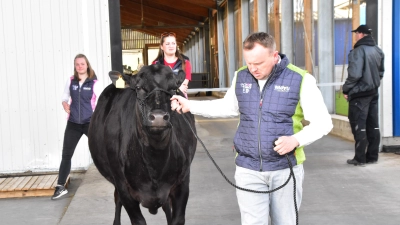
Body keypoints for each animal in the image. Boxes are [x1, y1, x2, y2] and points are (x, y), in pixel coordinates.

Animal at [89, 64, 198, 225]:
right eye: (139, 87)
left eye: (173, 88)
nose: (158, 117)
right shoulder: (124, 187)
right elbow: (137, 219)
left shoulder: (182, 184)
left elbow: (177, 219)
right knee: (117, 201)